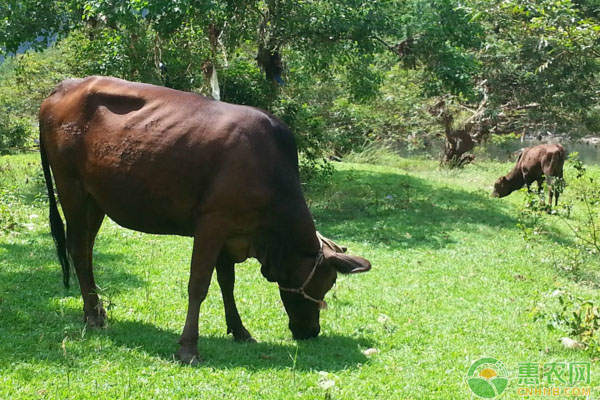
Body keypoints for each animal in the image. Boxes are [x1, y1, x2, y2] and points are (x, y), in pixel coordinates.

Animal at [39, 76, 370, 366]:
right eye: (326, 283)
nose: (311, 332)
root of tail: (65, 86)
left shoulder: (230, 233)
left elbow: (227, 283)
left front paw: (240, 331)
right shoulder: (212, 224)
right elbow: (198, 285)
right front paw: (188, 348)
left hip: (96, 200)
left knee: (85, 251)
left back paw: (96, 311)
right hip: (72, 190)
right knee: (78, 250)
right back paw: (93, 318)